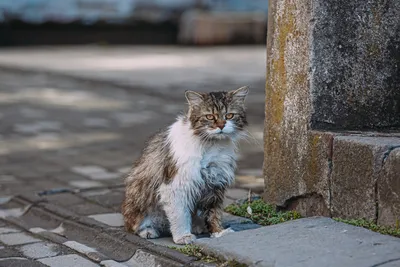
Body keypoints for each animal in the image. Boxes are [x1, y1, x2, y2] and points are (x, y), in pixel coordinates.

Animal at [120, 86, 248, 245]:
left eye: (229, 115)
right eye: (209, 117)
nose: (221, 125)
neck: (211, 145)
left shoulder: (215, 182)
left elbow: (214, 213)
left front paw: (218, 232)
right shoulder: (176, 185)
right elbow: (180, 214)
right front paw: (183, 236)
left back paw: (198, 226)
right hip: (140, 201)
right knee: (135, 225)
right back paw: (149, 231)